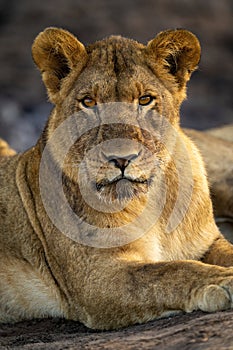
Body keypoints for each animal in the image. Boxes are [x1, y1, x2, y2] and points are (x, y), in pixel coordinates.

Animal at [0, 26, 233, 328]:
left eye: (145, 99)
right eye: (89, 102)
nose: (121, 159)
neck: (151, 203)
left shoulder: (206, 242)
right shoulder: (98, 277)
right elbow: (169, 272)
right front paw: (225, 281)